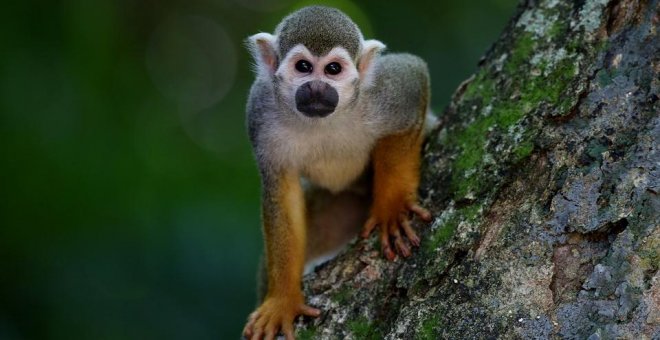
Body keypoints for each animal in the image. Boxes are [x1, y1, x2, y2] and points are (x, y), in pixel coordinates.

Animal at [242, 5, 434, 340]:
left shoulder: (383, 92)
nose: (317, 89)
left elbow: (413, 76)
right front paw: (282, 300)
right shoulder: (260, 111)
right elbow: (281, 192)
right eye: (303, 67)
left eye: (333, 69)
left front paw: (392, 208)